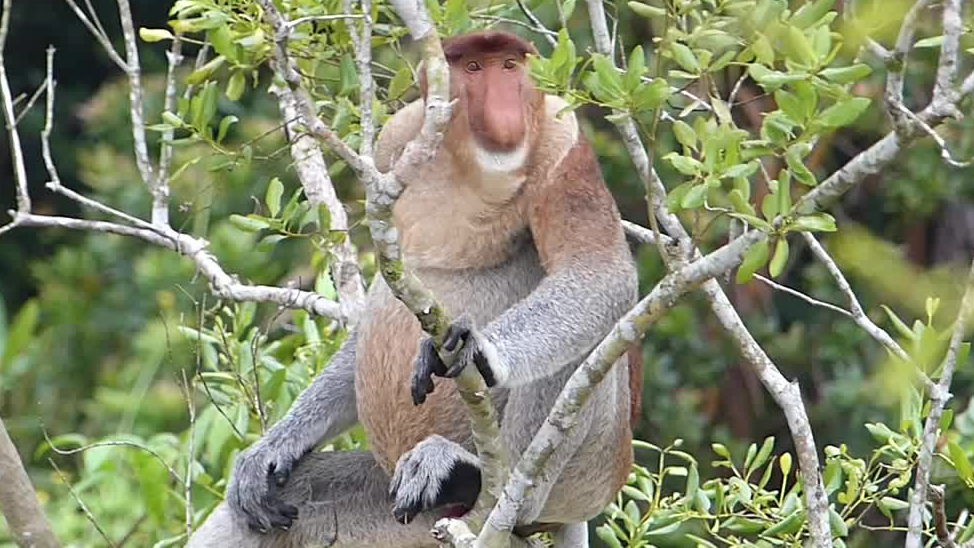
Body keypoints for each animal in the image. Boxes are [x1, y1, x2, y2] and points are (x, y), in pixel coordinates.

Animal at [187, 30, 640, 548]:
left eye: (509, 66)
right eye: (473, 69)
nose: (504, 110)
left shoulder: (563, 145)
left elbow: (599, 272)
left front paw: (477, 348)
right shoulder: (394, 142)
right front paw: (274, 448)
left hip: (589, 475)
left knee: (585, 348)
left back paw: (474, 477)